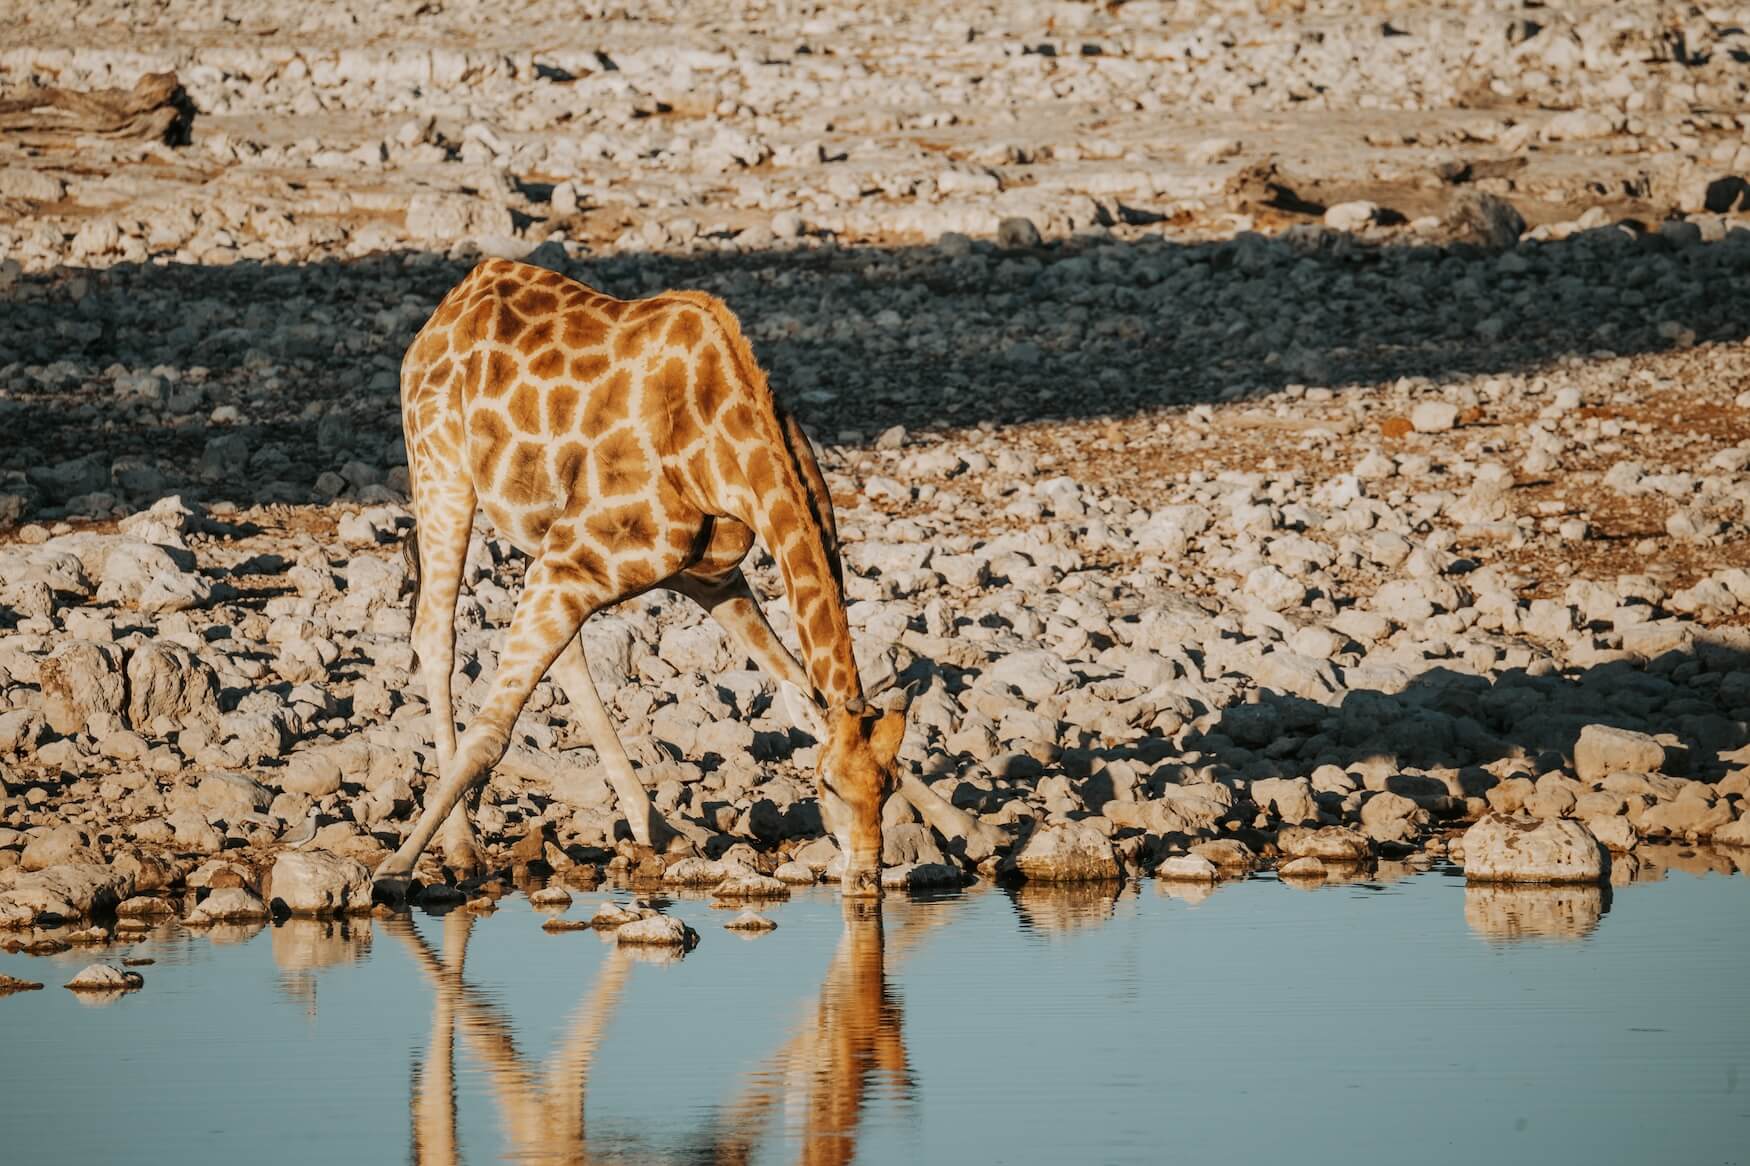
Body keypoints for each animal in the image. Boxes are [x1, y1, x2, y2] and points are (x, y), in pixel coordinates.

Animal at [376, 257, 906, 896]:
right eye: (826, 784)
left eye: (890, 786)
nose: (866, 878)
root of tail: (452, 303)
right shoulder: (572, 562)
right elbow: (492, 732)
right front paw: (392, 871)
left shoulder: (708, 574)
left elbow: (796, 679)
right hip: (442, 468)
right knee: (436, 635)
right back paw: (459, 851)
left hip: (537, 529)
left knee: (565, 658)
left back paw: (661, 830)